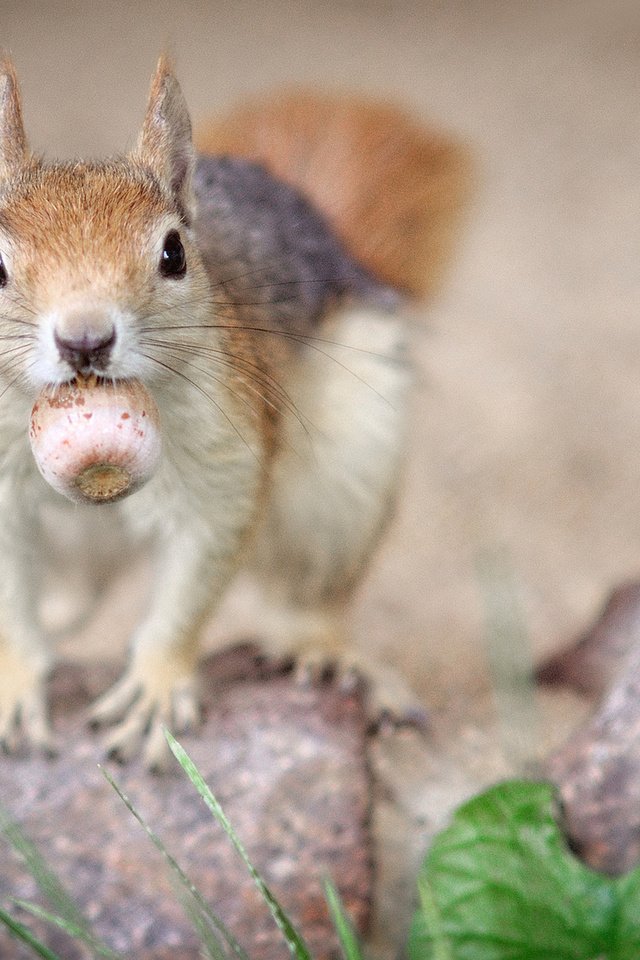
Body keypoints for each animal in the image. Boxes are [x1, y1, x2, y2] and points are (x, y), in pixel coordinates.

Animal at [0, 56, 470, 768]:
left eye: (173, 254)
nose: (84, 340)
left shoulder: (227, 449)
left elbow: (196, 575)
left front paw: (156, 687)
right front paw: (14, 684)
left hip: (344, 485)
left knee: (310, 598)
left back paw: (328, 654)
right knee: (79, 592)